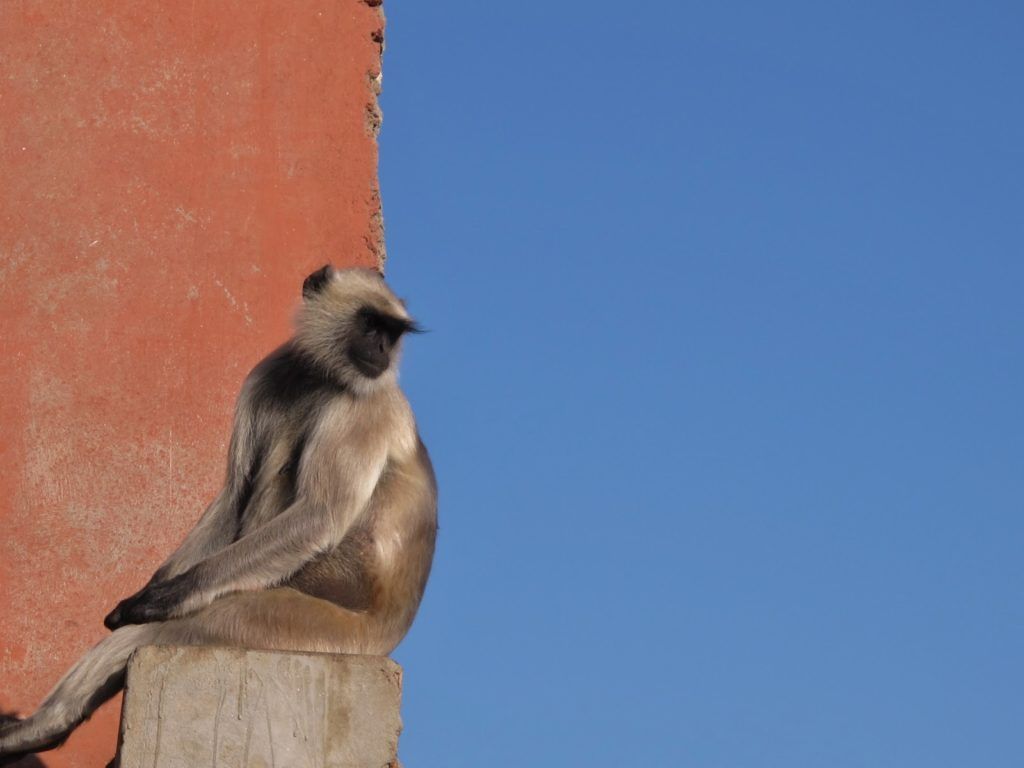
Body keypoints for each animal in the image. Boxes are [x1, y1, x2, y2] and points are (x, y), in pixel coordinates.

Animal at [0, 266, 436, 765]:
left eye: (391, 333)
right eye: (370, 325)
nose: (382, 351)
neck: (320, 376)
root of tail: (386, 640)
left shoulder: (364, 406)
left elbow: (319, 516)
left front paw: (167, 596)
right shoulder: (269, 373)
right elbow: (234, 493)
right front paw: (149, 589)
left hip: (318, 628)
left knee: (184, 626)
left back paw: (47, 726)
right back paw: (33, 732)